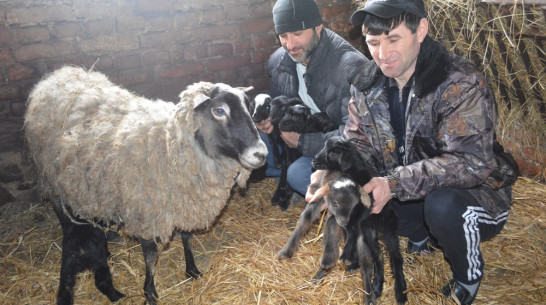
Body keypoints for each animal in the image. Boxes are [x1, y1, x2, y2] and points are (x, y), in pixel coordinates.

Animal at [24, 66, 266, 304]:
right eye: (219, 111)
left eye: (249, 107)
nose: (261, 154)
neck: (170, 147)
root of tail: (58, 75)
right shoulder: (145, 212)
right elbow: (151, 256)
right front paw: (150, 292)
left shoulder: (184, 202)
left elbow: (187, 237)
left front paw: (191, 269)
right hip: (52, 180)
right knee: (62, 213)